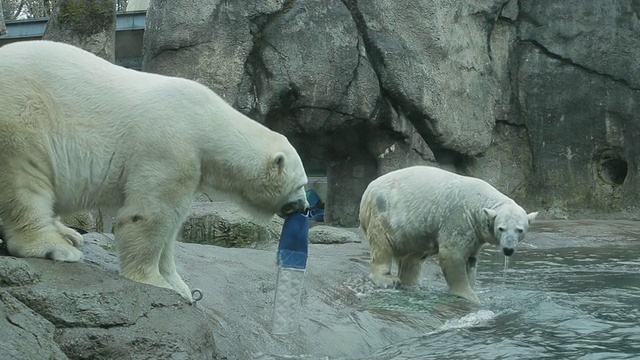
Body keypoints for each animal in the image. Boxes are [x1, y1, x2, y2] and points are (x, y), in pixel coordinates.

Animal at [0, 40, 310, 304]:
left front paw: (182, 286)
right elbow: (151, 216)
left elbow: (172, 226)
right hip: (22, 114)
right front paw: (153, 280)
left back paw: (68, 234)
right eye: (301, 184)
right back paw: (56, 246)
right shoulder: (168, 145)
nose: (305, 207)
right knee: (23, 180)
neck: (206, 121)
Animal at [360, 166, 536, 304]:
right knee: (382, 246)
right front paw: (469, 295)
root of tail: (367, 190)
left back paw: (412, 285)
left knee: (413, 259)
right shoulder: (458, 219)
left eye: (520, 230)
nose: (508, 249)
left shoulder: (475, 234)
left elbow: (471, 261)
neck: (477, 203)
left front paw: (473, 286)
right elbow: (452, 255)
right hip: (382, 213)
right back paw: (387, 279)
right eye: (501, 228)